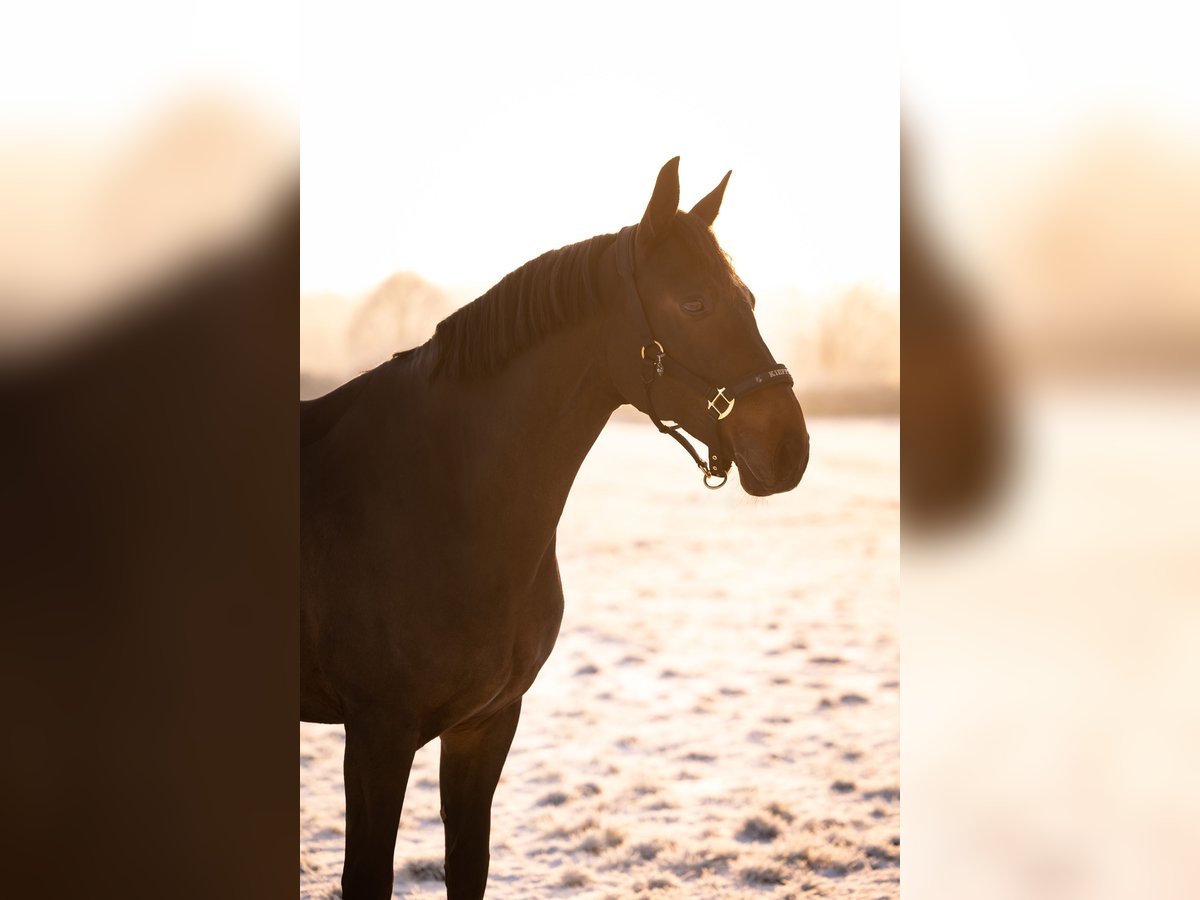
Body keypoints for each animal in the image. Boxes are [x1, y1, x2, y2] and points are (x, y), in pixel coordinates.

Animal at [300, 158, 811, 897]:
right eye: (694, 304)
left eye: (747, 297)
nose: (789, 449)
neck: (441, 499)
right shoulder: (376, 735)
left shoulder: (485, 726)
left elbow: (469, 867)